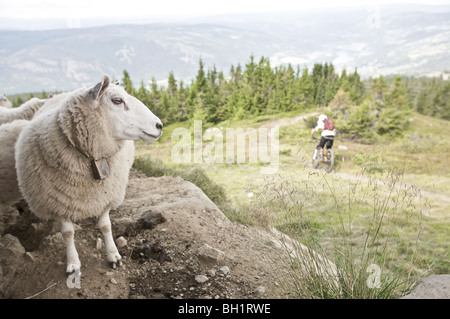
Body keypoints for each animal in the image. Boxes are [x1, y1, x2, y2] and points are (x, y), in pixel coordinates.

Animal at [15, 75, 163, 276]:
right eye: (117, 100)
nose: (159, 125)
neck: (92, 158)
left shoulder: (105, 196)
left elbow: (106, 226)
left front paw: (113, 255)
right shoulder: (56, 202)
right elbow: (68, 233)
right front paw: (73, 263)